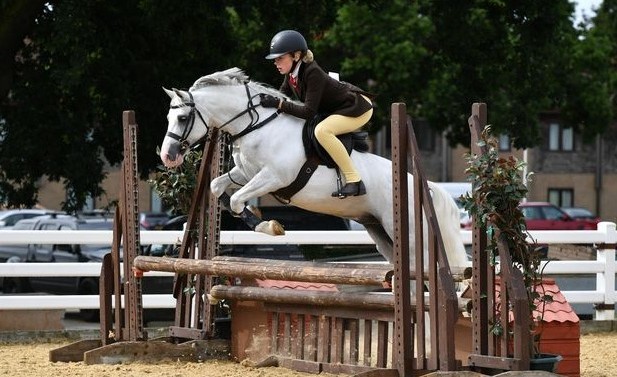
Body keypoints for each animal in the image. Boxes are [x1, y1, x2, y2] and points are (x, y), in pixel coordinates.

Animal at [160, 68, 466, 274]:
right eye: (168, 116)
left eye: (183, 117)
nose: (168, 156)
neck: (257, 125)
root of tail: (427, 188)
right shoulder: (245, 174)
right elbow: (218, 188)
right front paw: (259, 220)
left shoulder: (274, 177)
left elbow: (236, 200)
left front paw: (269, 226)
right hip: (380, 232)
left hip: (409, 235)